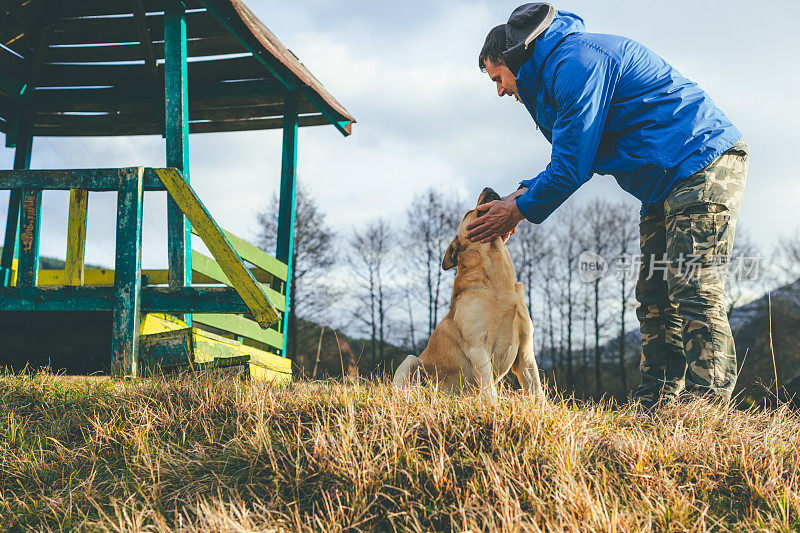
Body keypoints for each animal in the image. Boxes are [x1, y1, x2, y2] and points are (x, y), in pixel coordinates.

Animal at [392, 187, 544, 400]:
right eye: (467, 213)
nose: (487, 187)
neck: (498, 284)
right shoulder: (478, 347)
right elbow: (489, 389)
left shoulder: (525, 351)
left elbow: (537, 391)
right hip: (411, 360)